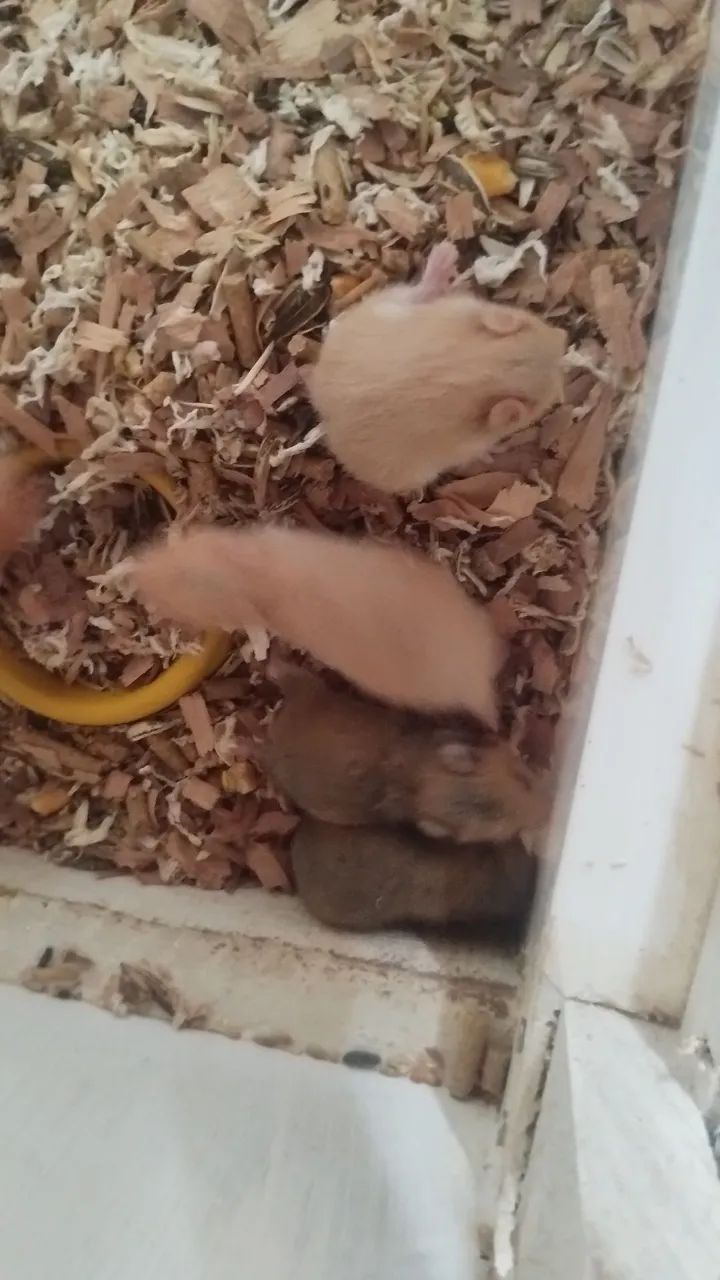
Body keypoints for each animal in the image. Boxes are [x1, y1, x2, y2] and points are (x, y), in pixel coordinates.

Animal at [307, 241, 567, 493]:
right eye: (548, 395)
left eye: (530, 323)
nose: (563, 336)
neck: (481, 367)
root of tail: (322, 409)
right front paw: (495, 452)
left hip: (385, 308)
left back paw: (445, 255)